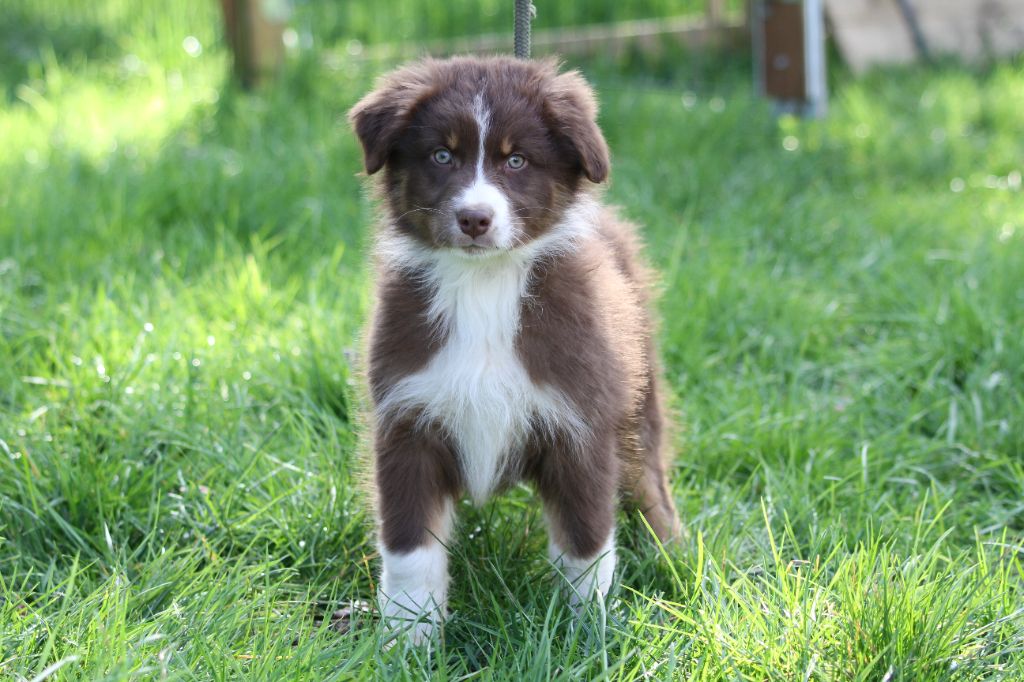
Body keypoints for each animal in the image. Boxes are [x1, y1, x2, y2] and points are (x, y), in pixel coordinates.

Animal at [350, 55, 679, 638]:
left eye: (518, 160)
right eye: (442, 155)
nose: (474, 219)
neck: (484, 287)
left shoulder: (580, 426)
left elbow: (585, 545)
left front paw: (586, 634)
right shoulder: (407, 421)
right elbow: (410, 549)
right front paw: (407, 639)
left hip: (638, 406)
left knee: (649, 479)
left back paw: (674, 555)